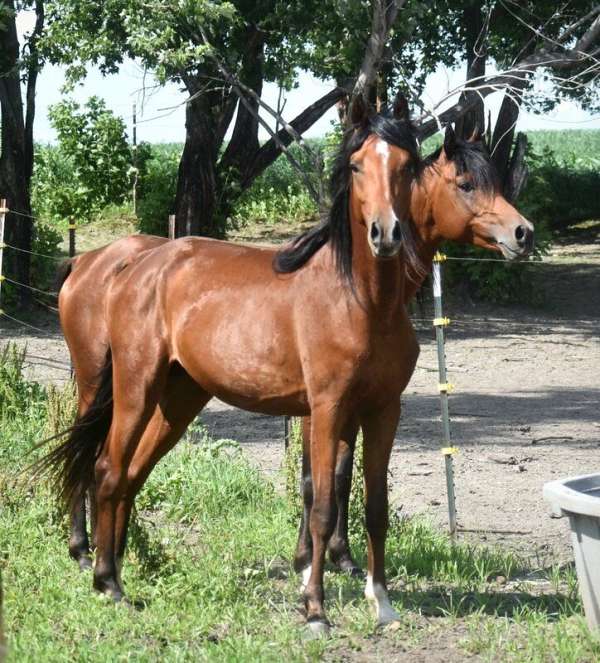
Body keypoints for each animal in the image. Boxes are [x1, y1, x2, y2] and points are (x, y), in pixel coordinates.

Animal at [40, 93, 428, 632]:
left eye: (408, 165)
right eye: (356, 165)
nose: (385, 233)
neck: (361, 303)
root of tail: (129, 266)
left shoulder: (384, 411)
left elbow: (375, 507)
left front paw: (384, 605)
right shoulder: (327, 410)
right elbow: (323, 507)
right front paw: (314, 609)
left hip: (178, 398)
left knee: (130, 474)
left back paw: (115, 567)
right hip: (133, 388)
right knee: (107, 470)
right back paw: (108, 582)